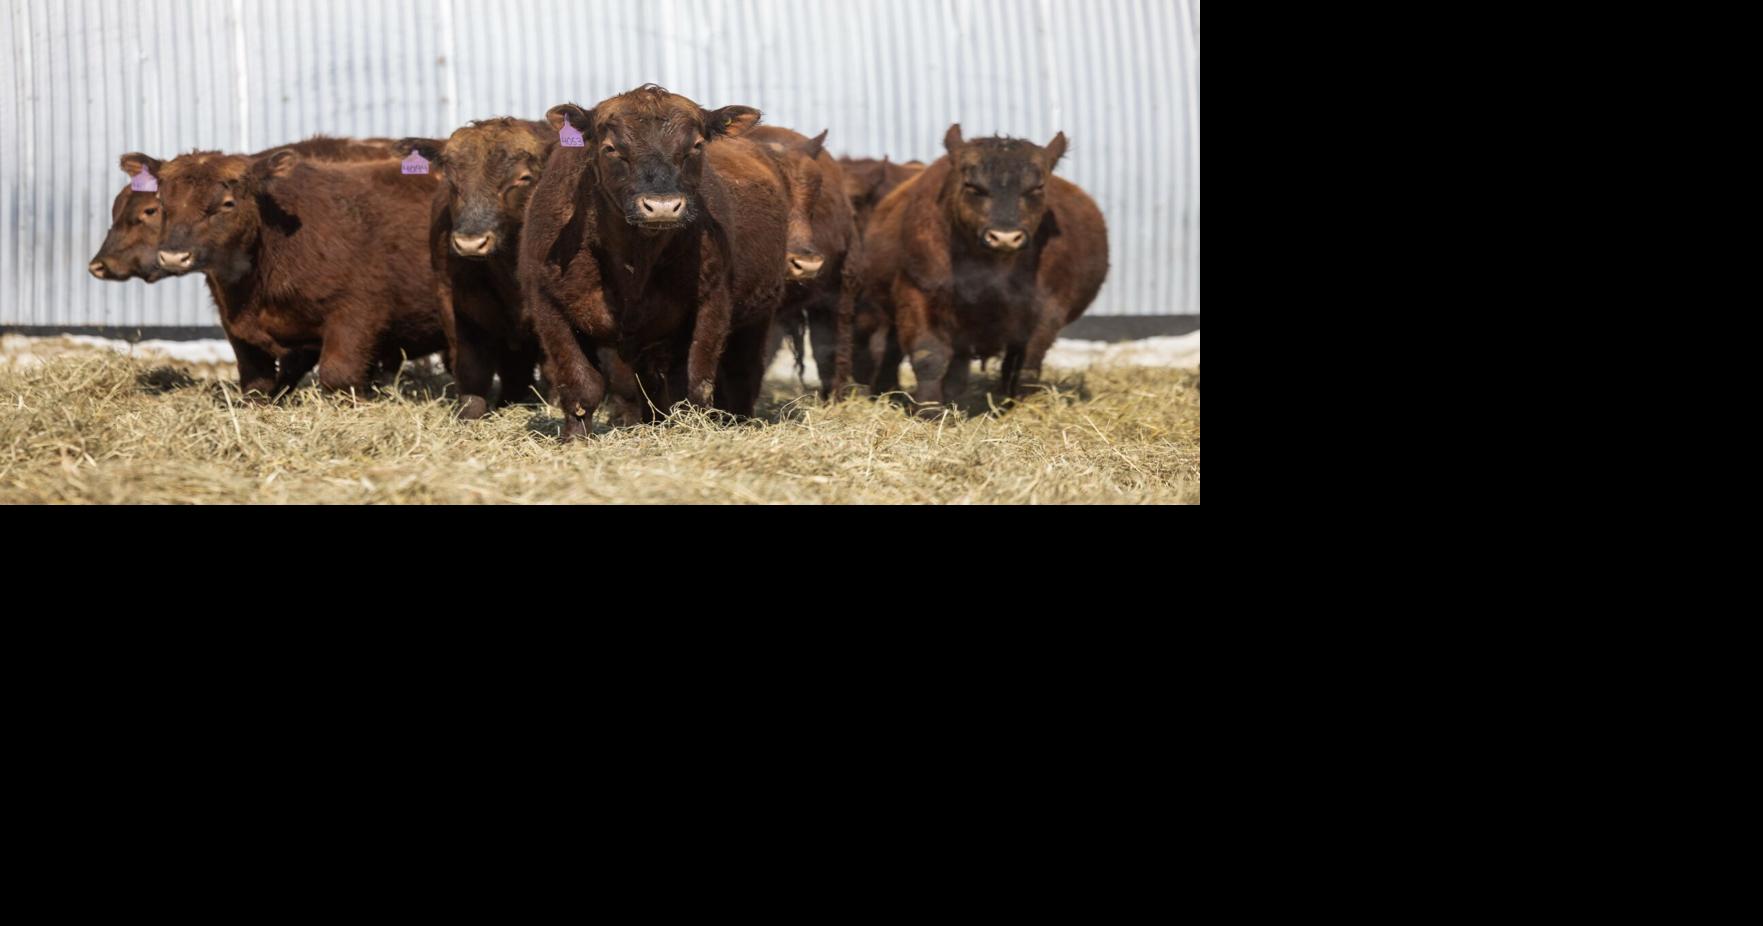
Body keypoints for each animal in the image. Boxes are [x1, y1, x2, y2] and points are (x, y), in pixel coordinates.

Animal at [147, 148, 446, 398]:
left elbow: (338, 375)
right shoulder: (237, 329)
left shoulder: (357, 313)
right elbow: (258, 381)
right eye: (161, 203)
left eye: (228, 203)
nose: (173, 255)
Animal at [395, 119, 557, 419]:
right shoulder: (452, 301)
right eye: (451, 180)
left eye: (523, 178)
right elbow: (471, 369)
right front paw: (470, 414)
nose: (470, 242)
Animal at [518, 84, 789, 440]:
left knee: (741, 375)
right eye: (610, 148)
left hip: (756, 316)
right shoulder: (549, 305)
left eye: (696, 146)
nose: (662, 206)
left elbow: (696, 383)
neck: (633, 264)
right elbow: (580, 386)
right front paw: (576, 439)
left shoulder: (712, 301)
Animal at [856, 125, 1108, 414]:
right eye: (972, 186)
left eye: (1037, 187)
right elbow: (928, 356)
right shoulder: (917, 292)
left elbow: (1029, 364)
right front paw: (929, 410)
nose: (1005, 237)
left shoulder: (1050, 306)